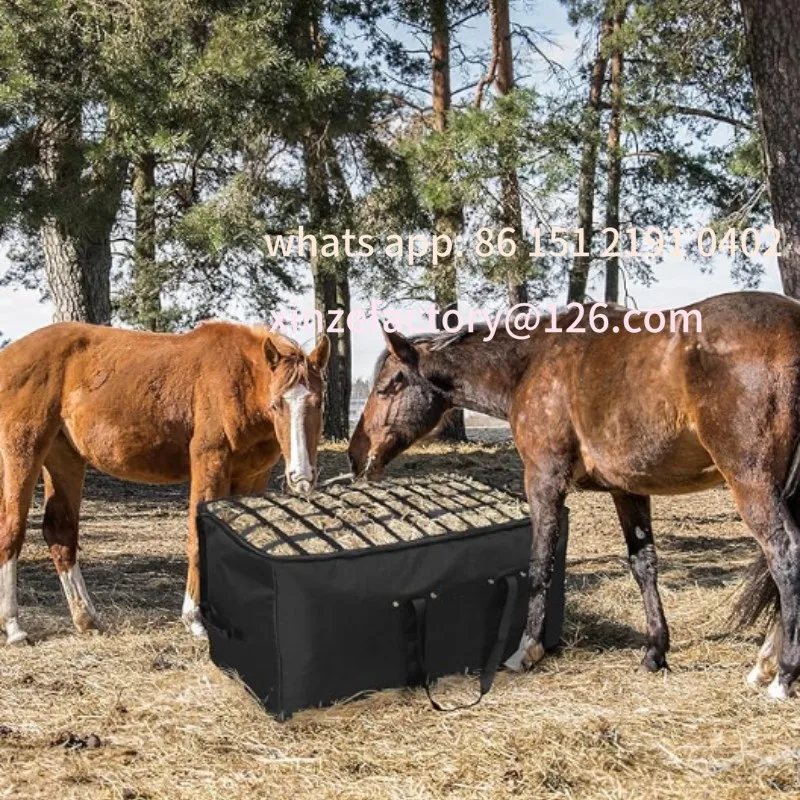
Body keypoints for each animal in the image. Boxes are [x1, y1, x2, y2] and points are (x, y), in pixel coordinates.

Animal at [0, 321, 329, 644]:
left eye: (319, 403)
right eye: (276, 405)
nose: (301, 476)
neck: (240, 381)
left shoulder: (252, 478)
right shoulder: (210, 463)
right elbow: (197, 540)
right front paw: (194, 620)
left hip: (63, 457)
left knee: (60, 532)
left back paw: (88, 619)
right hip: (23, 451)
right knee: (12, 529)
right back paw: (14, 627)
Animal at [348, 292, 800, 699]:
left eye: (389, 386)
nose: (356, 454)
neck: (531, 363)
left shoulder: (544, 482)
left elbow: (539, 564)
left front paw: (527, 650)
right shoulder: (628, 491)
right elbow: (644, 565)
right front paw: (655, 652)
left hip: (752, 484)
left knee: (784, 554)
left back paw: (782, 675)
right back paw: (764, 663)